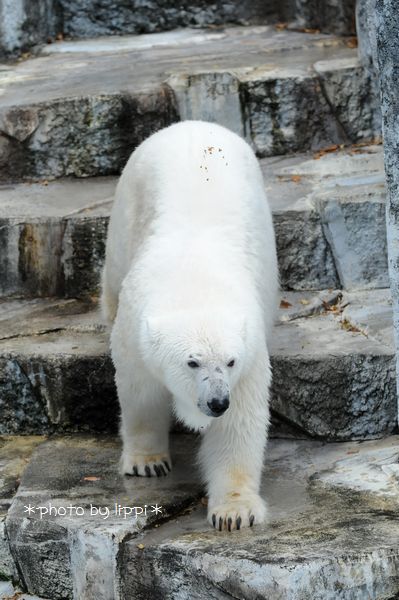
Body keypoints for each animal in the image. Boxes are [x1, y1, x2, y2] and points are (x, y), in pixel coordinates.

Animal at [102, 119, 278, 532]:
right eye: (192, 361)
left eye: (229, 361)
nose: (216, 402)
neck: (194, 282)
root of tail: (193, 124)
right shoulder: (136, 335)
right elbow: (140, 394)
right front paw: (147, 462)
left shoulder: (248, 356)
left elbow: (237, 426)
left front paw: (234, 511)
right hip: (130, 196)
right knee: (112, 268)